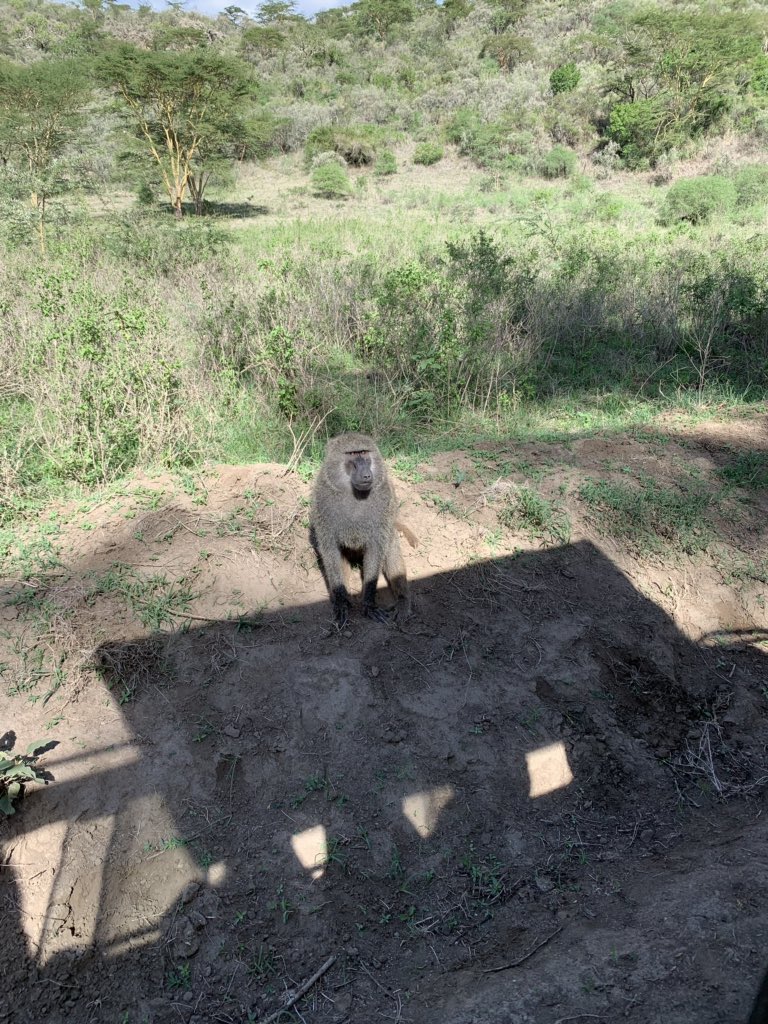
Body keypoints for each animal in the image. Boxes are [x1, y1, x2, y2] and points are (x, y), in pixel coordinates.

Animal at [310, 432, 411, 628]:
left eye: (364, 452)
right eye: (352, 454)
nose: (366, 474)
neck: (353, 494)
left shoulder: (384, 499)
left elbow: (376, 549)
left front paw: (369, 605)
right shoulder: (322, 501)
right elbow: (330, 550)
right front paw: (342, 604)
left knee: (390, 548)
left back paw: (403, 601)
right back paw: (345, 598)